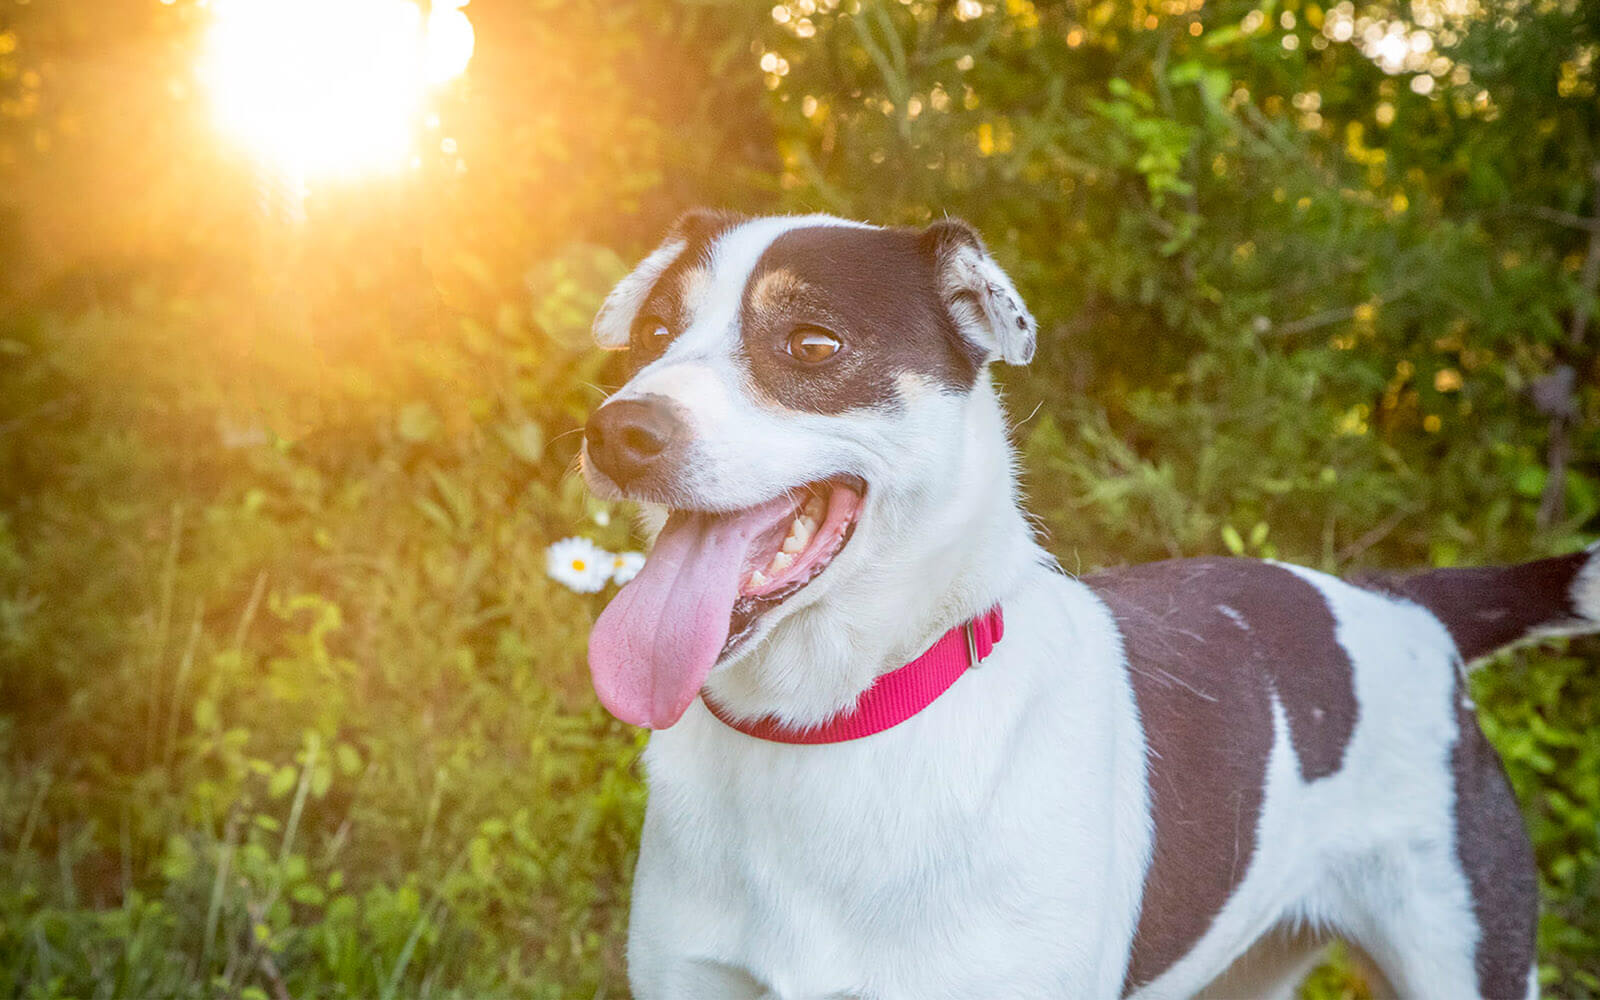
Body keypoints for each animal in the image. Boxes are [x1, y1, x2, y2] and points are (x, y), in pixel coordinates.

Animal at [572, 206, 1587, 992]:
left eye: (813, 344)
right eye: (653, 334)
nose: (616, 430)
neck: (830, 725)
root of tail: (1405, 601)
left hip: (1464, 945)